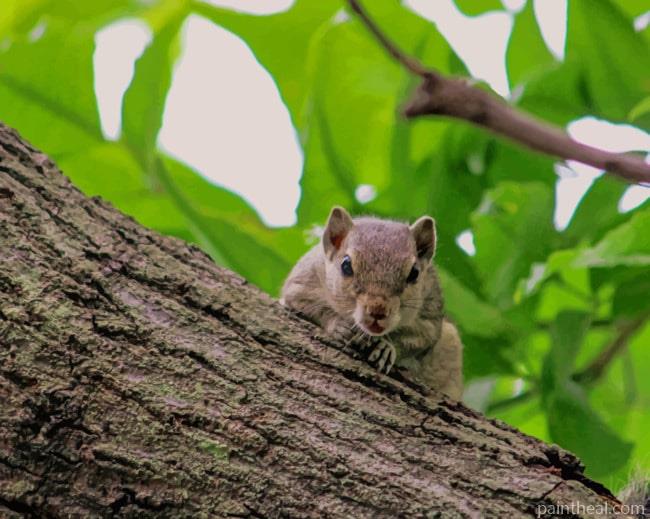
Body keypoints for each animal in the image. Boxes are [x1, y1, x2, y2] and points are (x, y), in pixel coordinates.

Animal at [281, 206, 463, 400]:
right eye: (346, 265)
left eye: (414, 273)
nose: (378, 311)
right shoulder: (302, 283)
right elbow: (306, 304)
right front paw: (339, 325)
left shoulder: (430, 313)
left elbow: (420, 338)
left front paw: (385, 346)